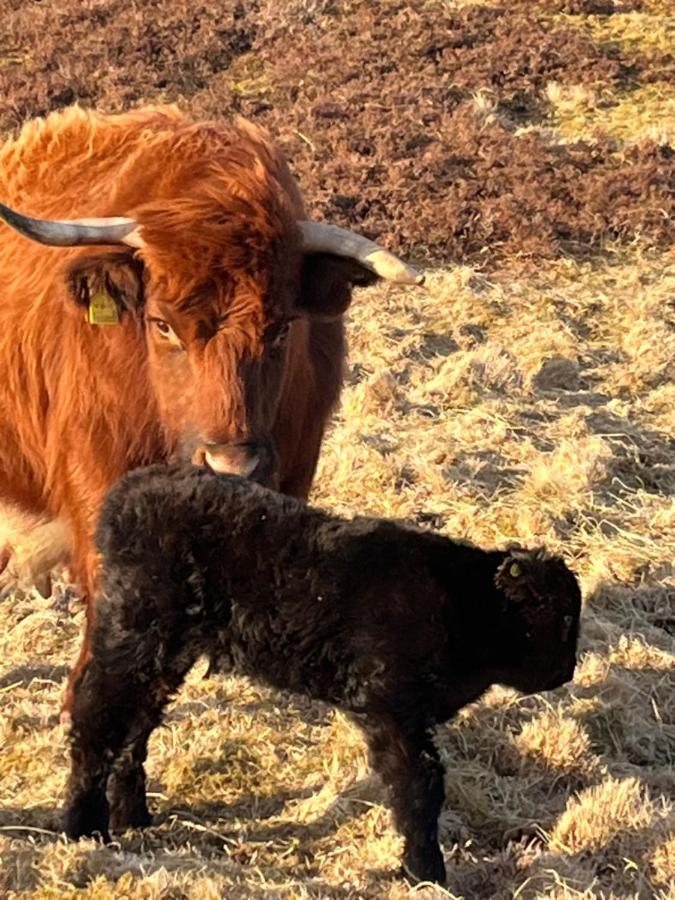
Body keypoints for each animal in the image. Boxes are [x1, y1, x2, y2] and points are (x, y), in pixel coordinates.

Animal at [64, 464, 580, 884]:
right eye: (560, 619)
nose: (568, 672)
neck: (466, 604)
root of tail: (129, 494)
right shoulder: (393, 708)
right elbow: (420, 785)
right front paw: (425, 871)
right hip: (134, 638)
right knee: (96, 716)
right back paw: (83, 828)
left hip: (164, 656)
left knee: (135, 726)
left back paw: (131, 817)